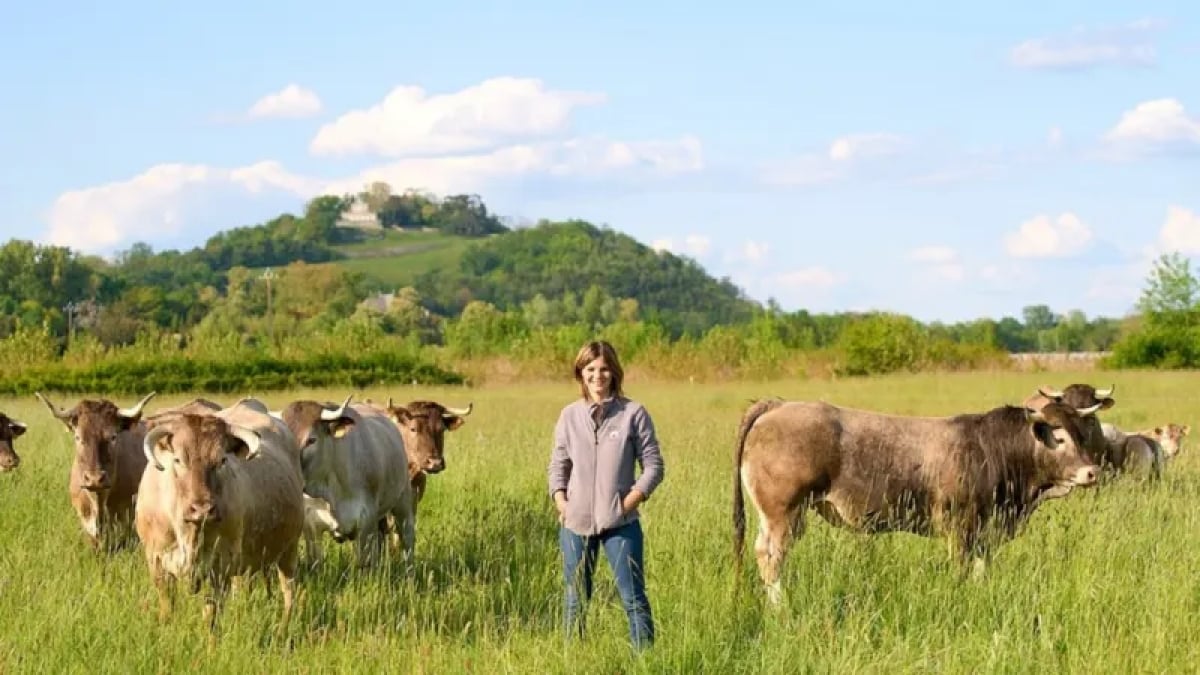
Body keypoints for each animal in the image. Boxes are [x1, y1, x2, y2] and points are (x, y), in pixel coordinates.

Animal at [134, 396, 304, 629]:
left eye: (222, 460)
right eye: (177, 460)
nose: (203, 509)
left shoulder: (220, 565)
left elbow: (211, 615)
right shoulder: (156, 560)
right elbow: (167, 606)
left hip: (289, 548)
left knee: (288, 589)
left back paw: (284, 626)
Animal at [724, 396, 1099, 600]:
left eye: (1083, 434)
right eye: (1059, 438)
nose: (1092, 472)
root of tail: (778, 405)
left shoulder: (984, 532)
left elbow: (981, 569)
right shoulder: (959, 527)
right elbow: (961, 569)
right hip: (784, 514)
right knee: (770, 557)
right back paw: (781, 608)